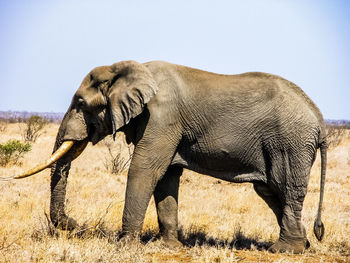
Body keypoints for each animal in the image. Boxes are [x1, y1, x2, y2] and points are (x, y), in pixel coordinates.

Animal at [12, 60, 326, 255]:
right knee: (270, 191)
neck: (128, 68)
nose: (74, 224)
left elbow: (144, 170)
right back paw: (303, 246)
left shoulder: (162, 118)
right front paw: (169, 248)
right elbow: (166, 178)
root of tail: (319, 118)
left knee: (286, 188)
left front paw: (124, 248)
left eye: (80, 103)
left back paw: (285, 250)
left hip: (290, 142)